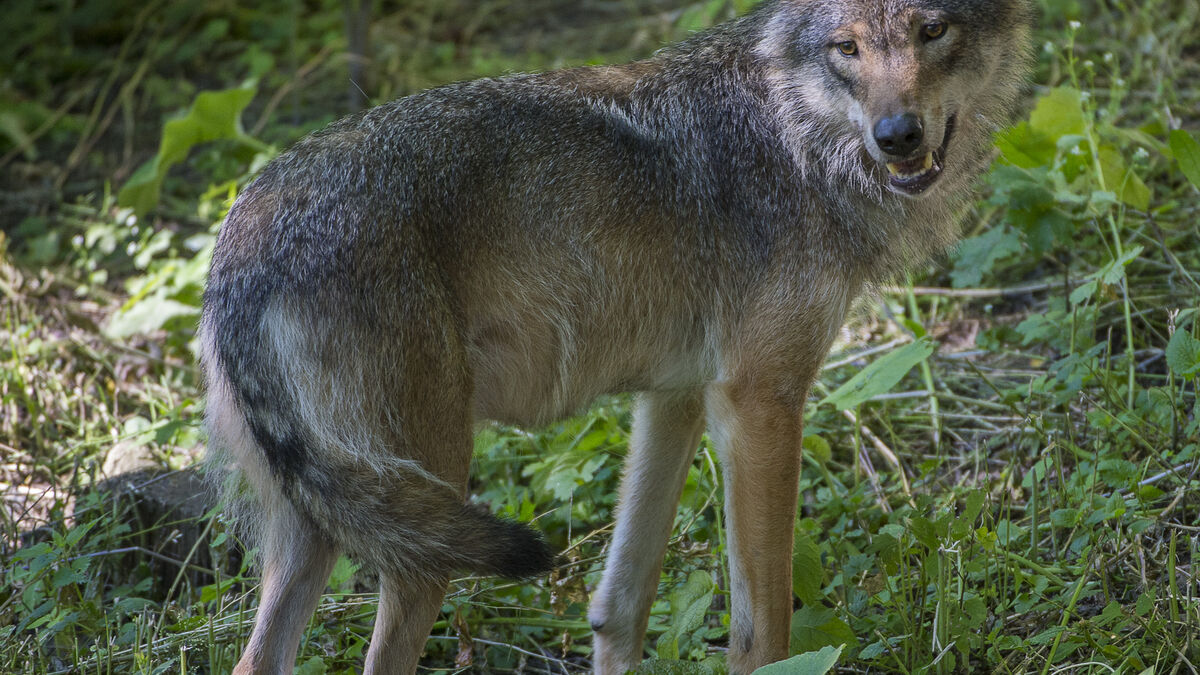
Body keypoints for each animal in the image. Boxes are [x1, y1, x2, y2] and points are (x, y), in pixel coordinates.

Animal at [200, 0, 1032, 672]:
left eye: (932, 30)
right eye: (847, 47)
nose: (898, 137)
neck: (795, 133)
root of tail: (239, 246)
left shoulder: (677, 398)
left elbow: (620, 605)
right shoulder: (760, 401)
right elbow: (762, 633)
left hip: (327, 524)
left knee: (253, 657)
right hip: (425, 520)